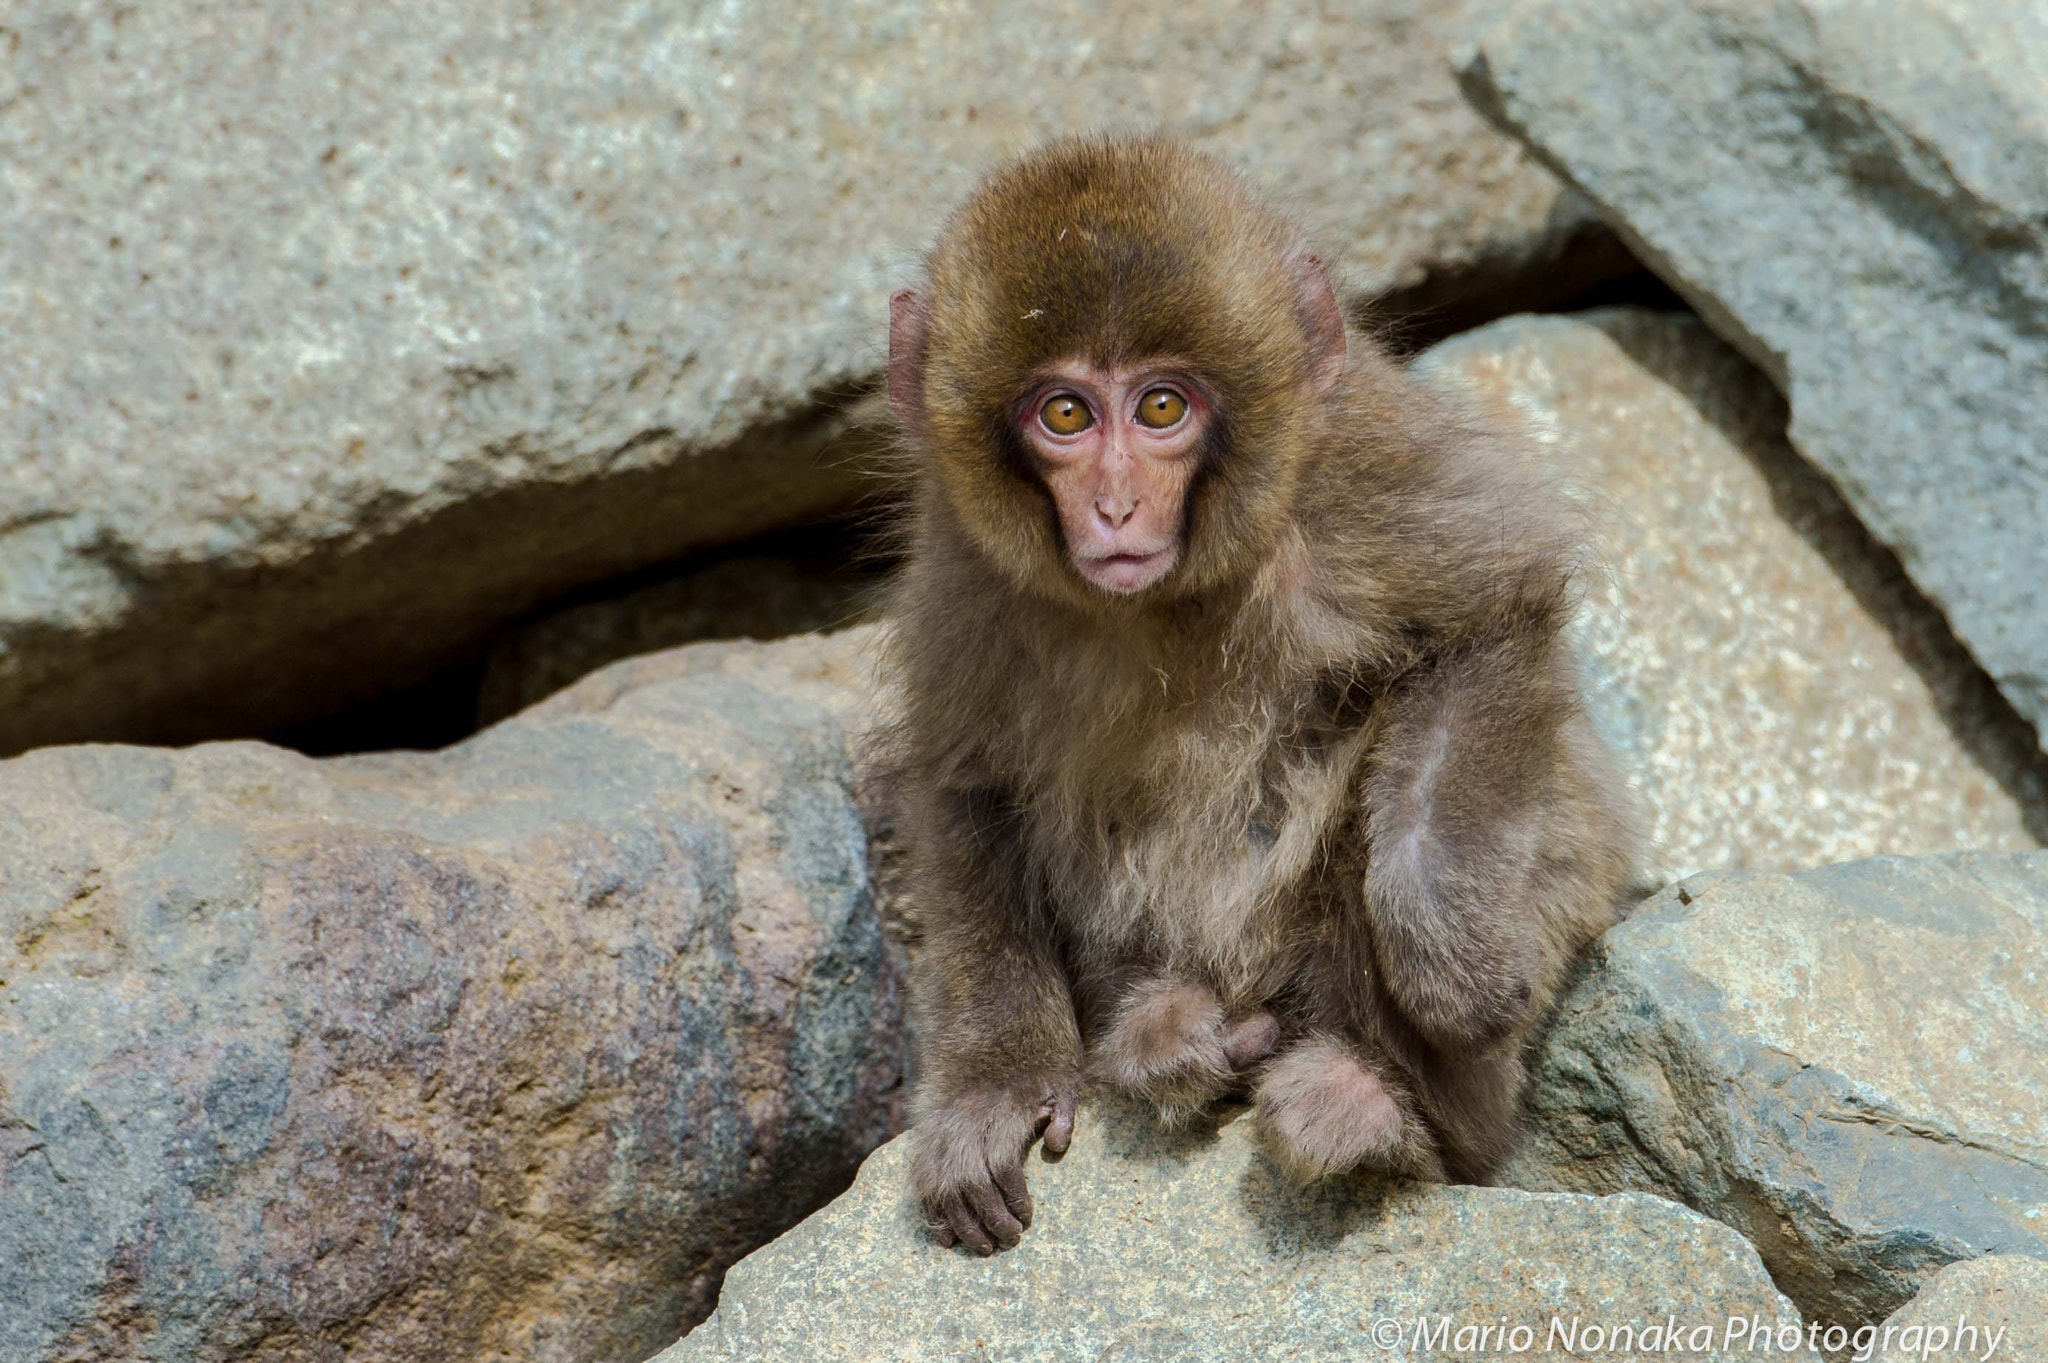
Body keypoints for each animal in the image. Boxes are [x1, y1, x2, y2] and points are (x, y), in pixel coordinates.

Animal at [879, 136, 1638, 1254]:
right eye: (1065, 413)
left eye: (1161, 406)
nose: (1115, 504)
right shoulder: (963, 570)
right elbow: (971, 781)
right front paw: (995, 1081)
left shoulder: (1362, 467)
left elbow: (1489, 624)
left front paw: (1447, 964)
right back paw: (1169, 1033)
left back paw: (1378, 1107)